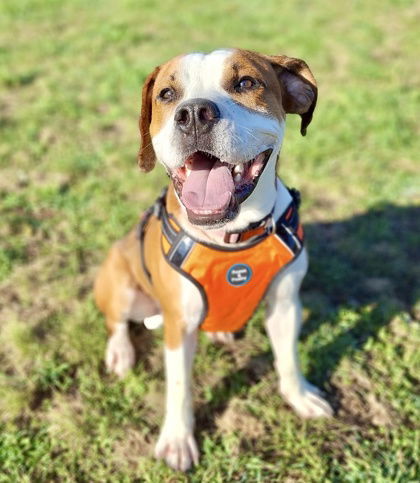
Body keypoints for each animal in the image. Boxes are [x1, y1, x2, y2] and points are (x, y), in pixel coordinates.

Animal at [94, 49, 332, 472]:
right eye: (167, 93)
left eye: (246, 83)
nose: (193, 114)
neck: (232, 234)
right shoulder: (178, 324)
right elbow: (179, 386)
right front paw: (177, 440)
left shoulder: (285, 305)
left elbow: (288, 359)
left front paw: (300, 397)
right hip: (122, 286)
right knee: (116, 322)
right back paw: (120, 352)